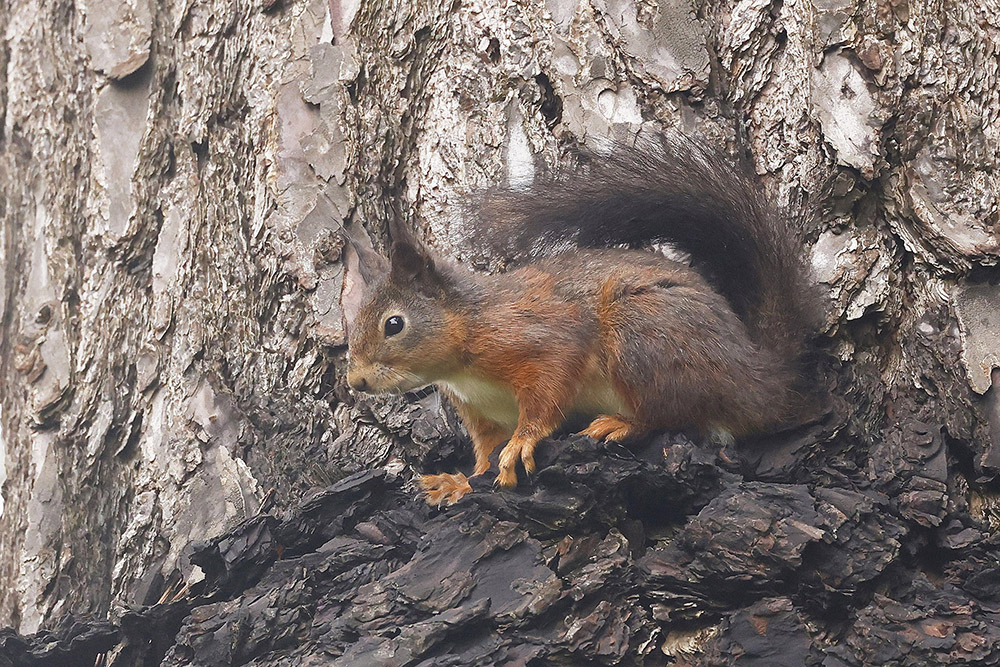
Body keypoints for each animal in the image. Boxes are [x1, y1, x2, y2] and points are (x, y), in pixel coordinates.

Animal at [346, 138, 820, 504]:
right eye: (351, 323)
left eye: (393, 324)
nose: (355, 382)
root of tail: (757, 373)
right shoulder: (482, 413)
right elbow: (484, 451)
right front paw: (462, 482)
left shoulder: (539, 338)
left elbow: (548, 392)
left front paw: (522, 442)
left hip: (644, 333)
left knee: (676, 412)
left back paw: (621, 423)